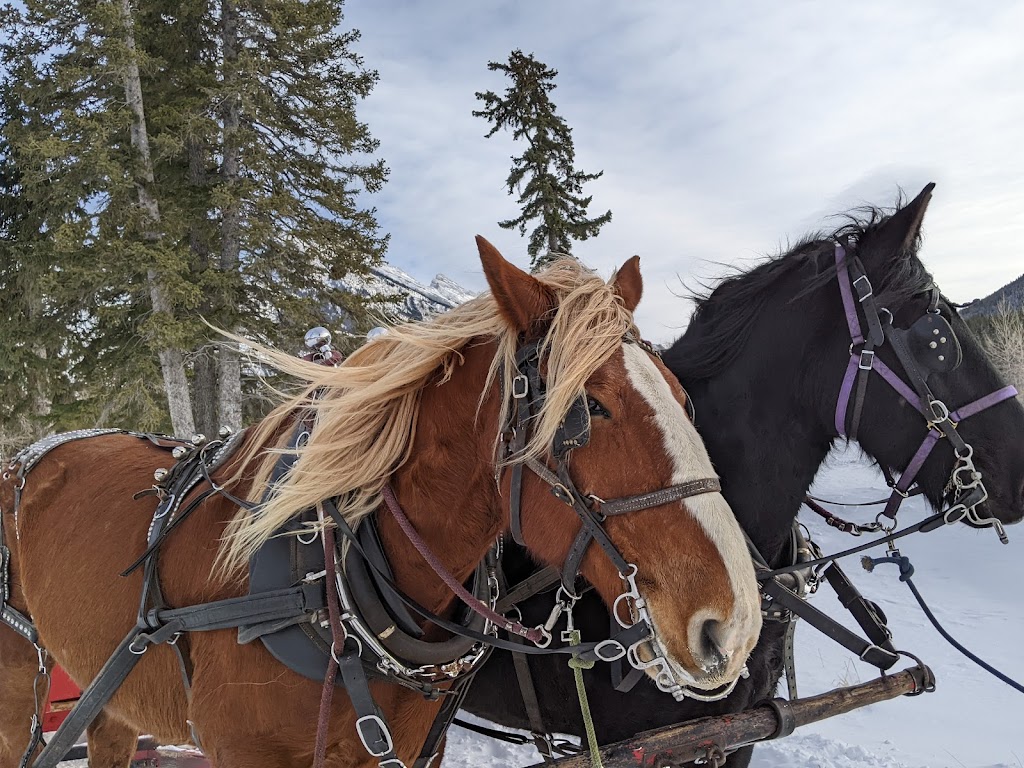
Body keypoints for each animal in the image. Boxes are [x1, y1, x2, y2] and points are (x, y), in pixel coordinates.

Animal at [0, 237, 761, 765]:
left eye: (683, 394)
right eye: (589, 409)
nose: (734, 623)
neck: (326, 581)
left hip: (106, 695)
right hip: (17, 697)